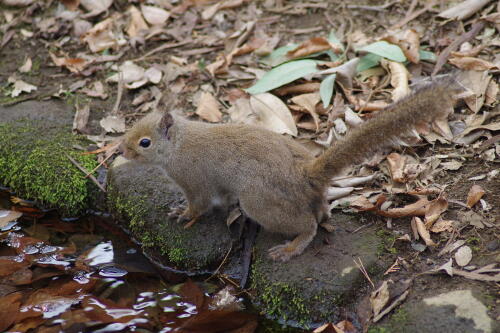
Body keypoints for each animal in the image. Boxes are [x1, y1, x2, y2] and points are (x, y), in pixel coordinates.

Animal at [121, 78, 460, 262]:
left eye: (145, 142)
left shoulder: (193, 179)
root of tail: (305, 174)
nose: (122, 150)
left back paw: (292, 247)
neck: (178, 143)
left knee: (307, 225)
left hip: (260, 201)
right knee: (320, 211)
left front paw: (183, 214)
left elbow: (200, 204)